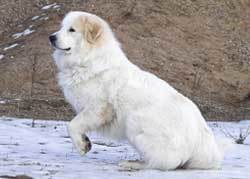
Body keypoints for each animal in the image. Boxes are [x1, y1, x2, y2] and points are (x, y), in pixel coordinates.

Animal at [49, 11, 228, 171]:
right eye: (61, 27)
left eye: (72, 30)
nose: (51, 37)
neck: (89, 59)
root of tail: (202, 139)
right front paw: (85, 142)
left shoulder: (98, 108)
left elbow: (72, 125)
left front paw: (82, 145)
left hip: (134, 122)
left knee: (165, 163)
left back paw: (133, 164)